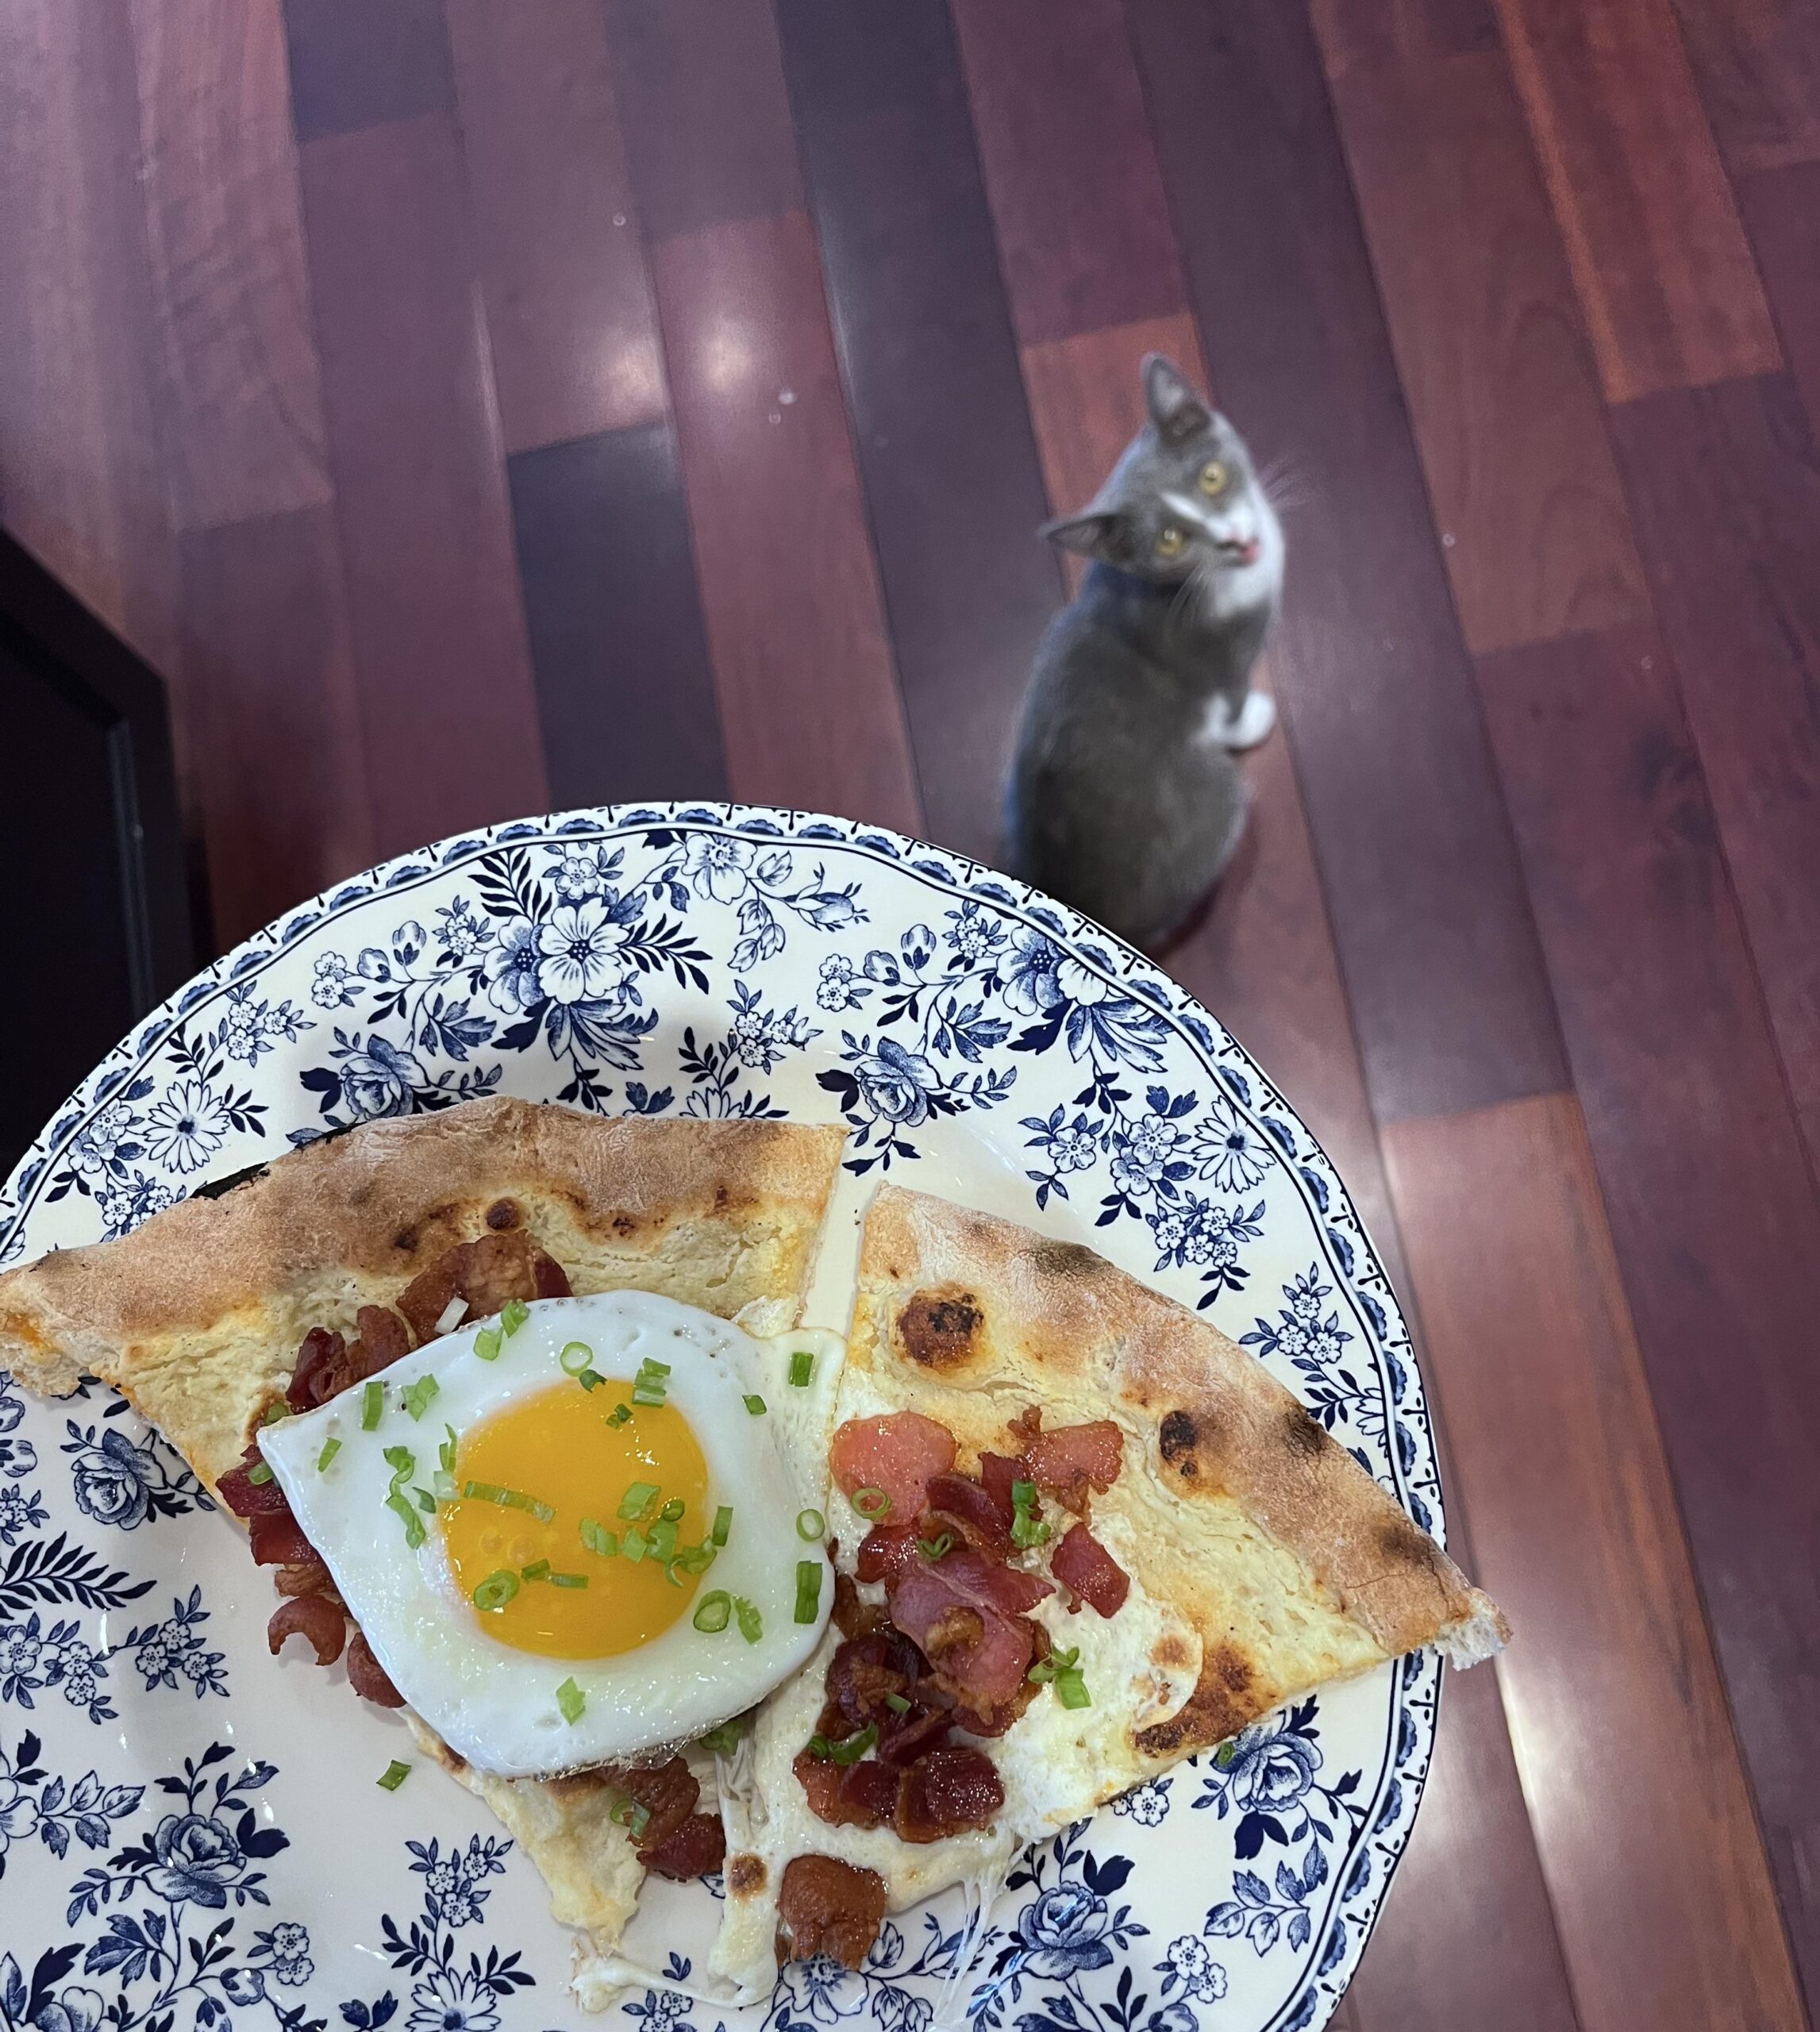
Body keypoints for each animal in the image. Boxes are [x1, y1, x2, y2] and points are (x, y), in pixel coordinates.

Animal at [1003, 354, 1283, 952]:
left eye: (1211, 476)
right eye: (1170, 541)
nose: (1233, 538)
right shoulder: (1223, 654)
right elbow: (1228, 701)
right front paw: (1252, 720)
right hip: (1212, 805)